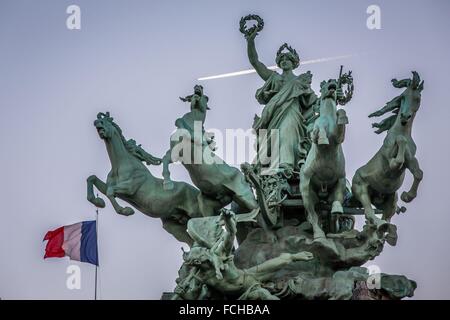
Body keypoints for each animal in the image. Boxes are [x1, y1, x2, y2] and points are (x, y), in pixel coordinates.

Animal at [86, 112, 202, 245]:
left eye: (106, 121)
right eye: (99, 120)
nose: (96, 123)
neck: (120, 166)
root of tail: (198, 191)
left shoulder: (129, 188)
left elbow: (110, 192)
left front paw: (126, 210)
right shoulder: (111, 188)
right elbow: (92, 179)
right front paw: (98, 202)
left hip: (195, 213)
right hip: (174, 225)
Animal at [354, 71, 424, 238]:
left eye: (417, 98)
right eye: (402, 97)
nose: (404, 117)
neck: (402, 131)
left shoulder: (411, 160)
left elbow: (418, 173)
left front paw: (408, 196)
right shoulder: (390, 160)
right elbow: (396, 160)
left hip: (391, 199)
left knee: (386, 217)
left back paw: (389, 233)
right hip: (361, 189)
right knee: (369, 212)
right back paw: (379, 225)